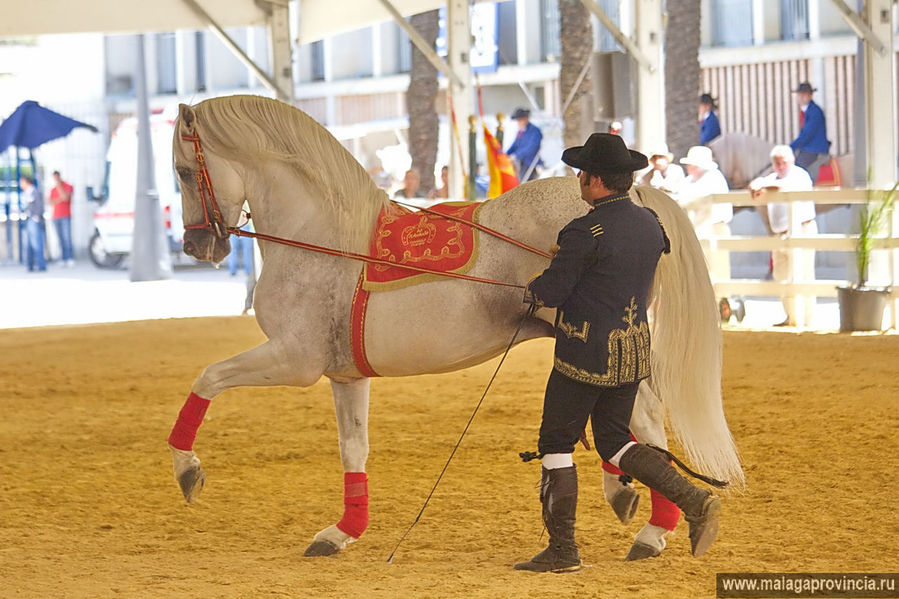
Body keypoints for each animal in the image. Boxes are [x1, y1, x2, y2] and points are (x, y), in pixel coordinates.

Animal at [169, 96, 744, 560]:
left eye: (182, 171)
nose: (198, 246)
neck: (323, 238)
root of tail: (639, 200)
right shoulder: (345, 374)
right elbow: (353, 448)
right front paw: (343, 531)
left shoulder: (294, 359)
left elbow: (207, 378)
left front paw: (187, 469)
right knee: (630, 424)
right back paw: (636, 503)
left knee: (642, 421)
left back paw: (651, 528)